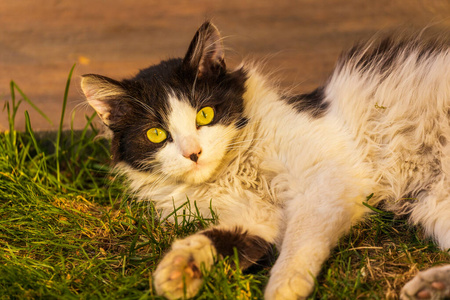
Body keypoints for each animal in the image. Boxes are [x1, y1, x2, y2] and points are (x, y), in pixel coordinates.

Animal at [81, 22, 450, 298]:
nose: (193, 154)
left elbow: (299, 243)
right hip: (434, 207)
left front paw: (283, 288)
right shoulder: (256, 219)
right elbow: (217, 238)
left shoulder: (325, 183)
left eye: (205, 114)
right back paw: (430, 286)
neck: (235, 172)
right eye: (156, 134)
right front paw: (179, 268)